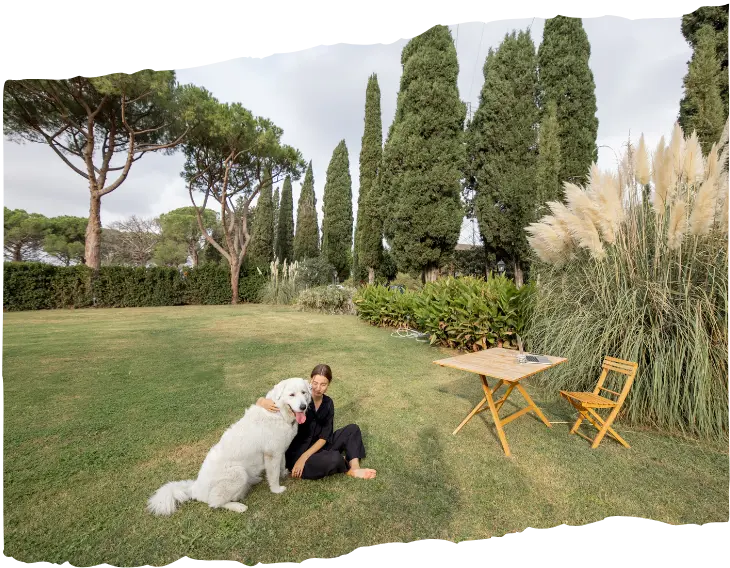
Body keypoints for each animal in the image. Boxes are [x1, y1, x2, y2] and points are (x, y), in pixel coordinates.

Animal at [145, 378, 310, 516]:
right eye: (291, 395)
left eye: (304, 392)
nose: (304, 406)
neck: (279, 414)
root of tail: (195, 487)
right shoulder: (272, 454)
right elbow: (273, 475)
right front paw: (276, 490)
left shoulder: (280, 451)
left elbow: (281, 465)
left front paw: (284, 474)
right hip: (238, 473)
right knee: (215, 503)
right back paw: (238, 506)